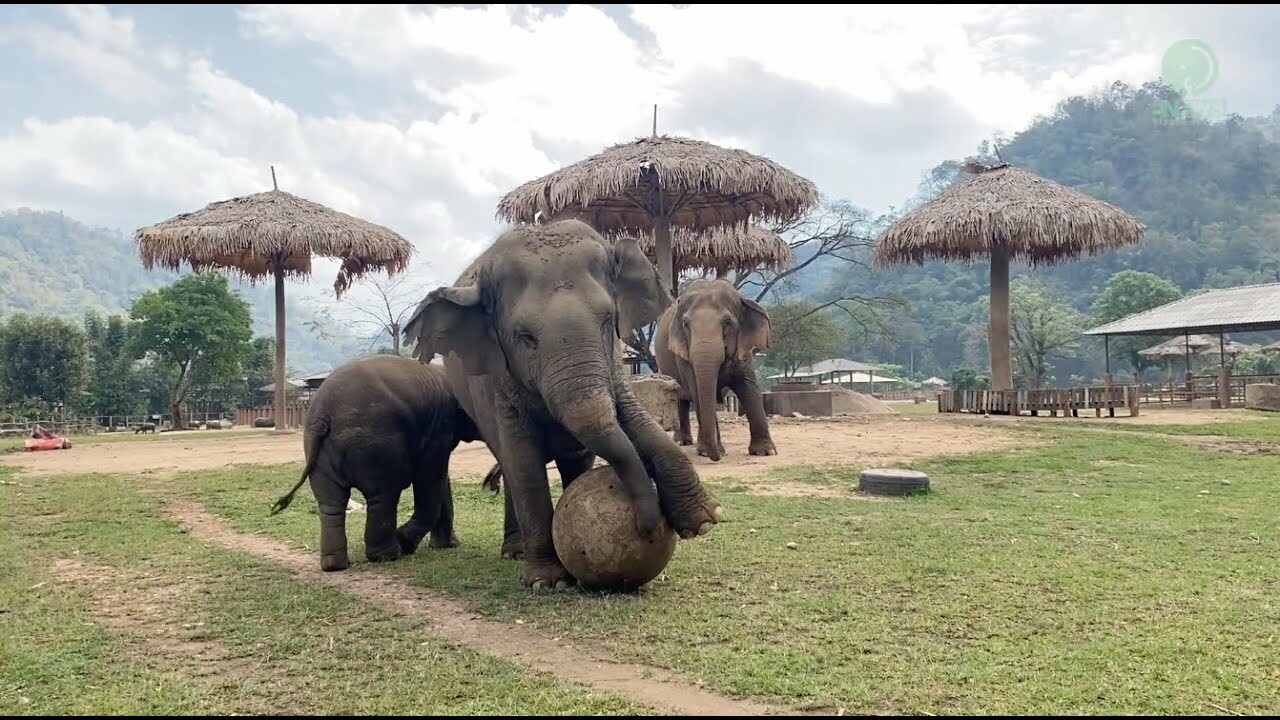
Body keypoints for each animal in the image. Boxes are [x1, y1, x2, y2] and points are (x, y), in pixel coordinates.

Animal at [267, 351, 481, 568]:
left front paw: (446, 546)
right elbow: (432, 477)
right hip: (377, 443)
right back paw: (388, 555)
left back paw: (335, 565)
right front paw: (407, 543)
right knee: (384, 494)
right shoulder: (439, 429)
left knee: (331, 502)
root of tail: (323, 412)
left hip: (317, 447)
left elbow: (441, 480)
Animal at [401, 220, 721, 589]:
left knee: (572, 461)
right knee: (511, 465)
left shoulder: (612, 360)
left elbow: (631, 419)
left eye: (607, 319)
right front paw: (547, 581)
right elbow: (523, 463)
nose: (649, 526)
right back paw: (516, 553)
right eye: (525, 337)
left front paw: (705, 519)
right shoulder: (497, 382)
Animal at [655, 274, 773, 458]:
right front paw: (711, 451)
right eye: (685, 323)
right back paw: (684, 443)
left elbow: (749, 388)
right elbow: (697, 390)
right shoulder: (683, 355)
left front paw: (764, 452)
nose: (717, 456)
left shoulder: (743, 350)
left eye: (727, 322)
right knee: (681, 398)